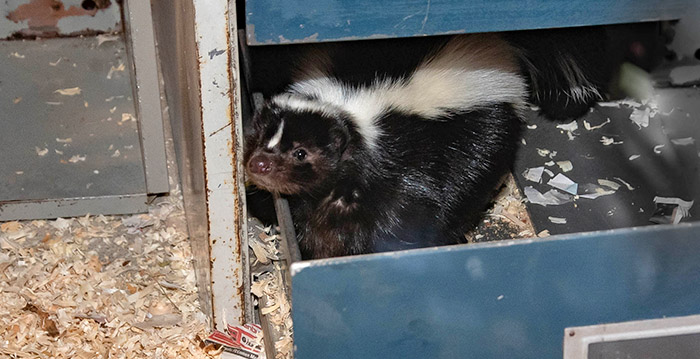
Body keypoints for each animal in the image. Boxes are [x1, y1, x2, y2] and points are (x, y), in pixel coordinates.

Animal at [243, 28, 616, 258]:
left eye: (301, 152)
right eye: (261, 138)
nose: (257, 165)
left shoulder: (409, 169)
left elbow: (404, 218)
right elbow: (306, 220)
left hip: (483, 135)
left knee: (467, 185)